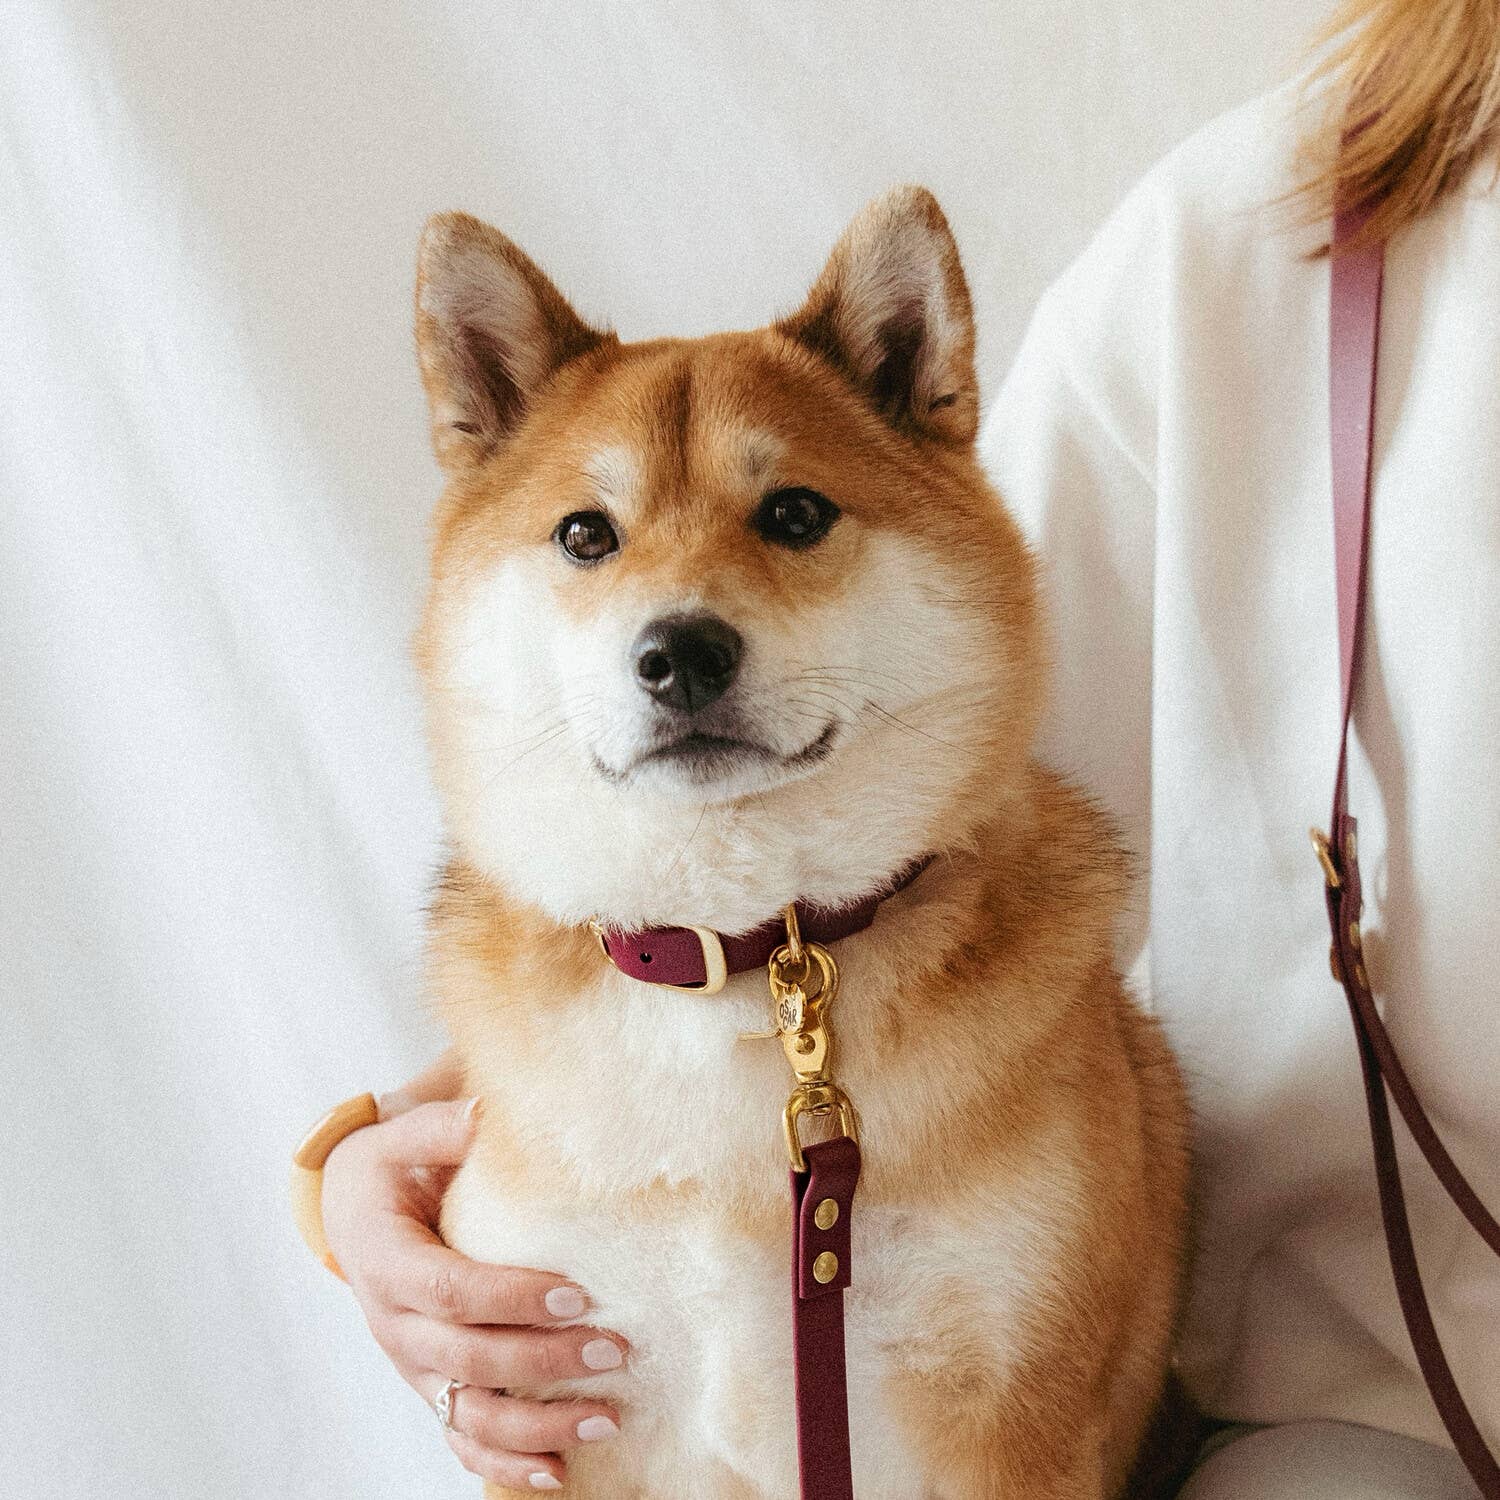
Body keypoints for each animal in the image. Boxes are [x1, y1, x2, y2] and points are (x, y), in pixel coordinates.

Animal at [417, 190, 1188, 1500]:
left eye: (794, 514)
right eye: (585, 535)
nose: (679, 651)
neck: (736, 960)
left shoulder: (1014, 1418)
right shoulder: (563, 1413)